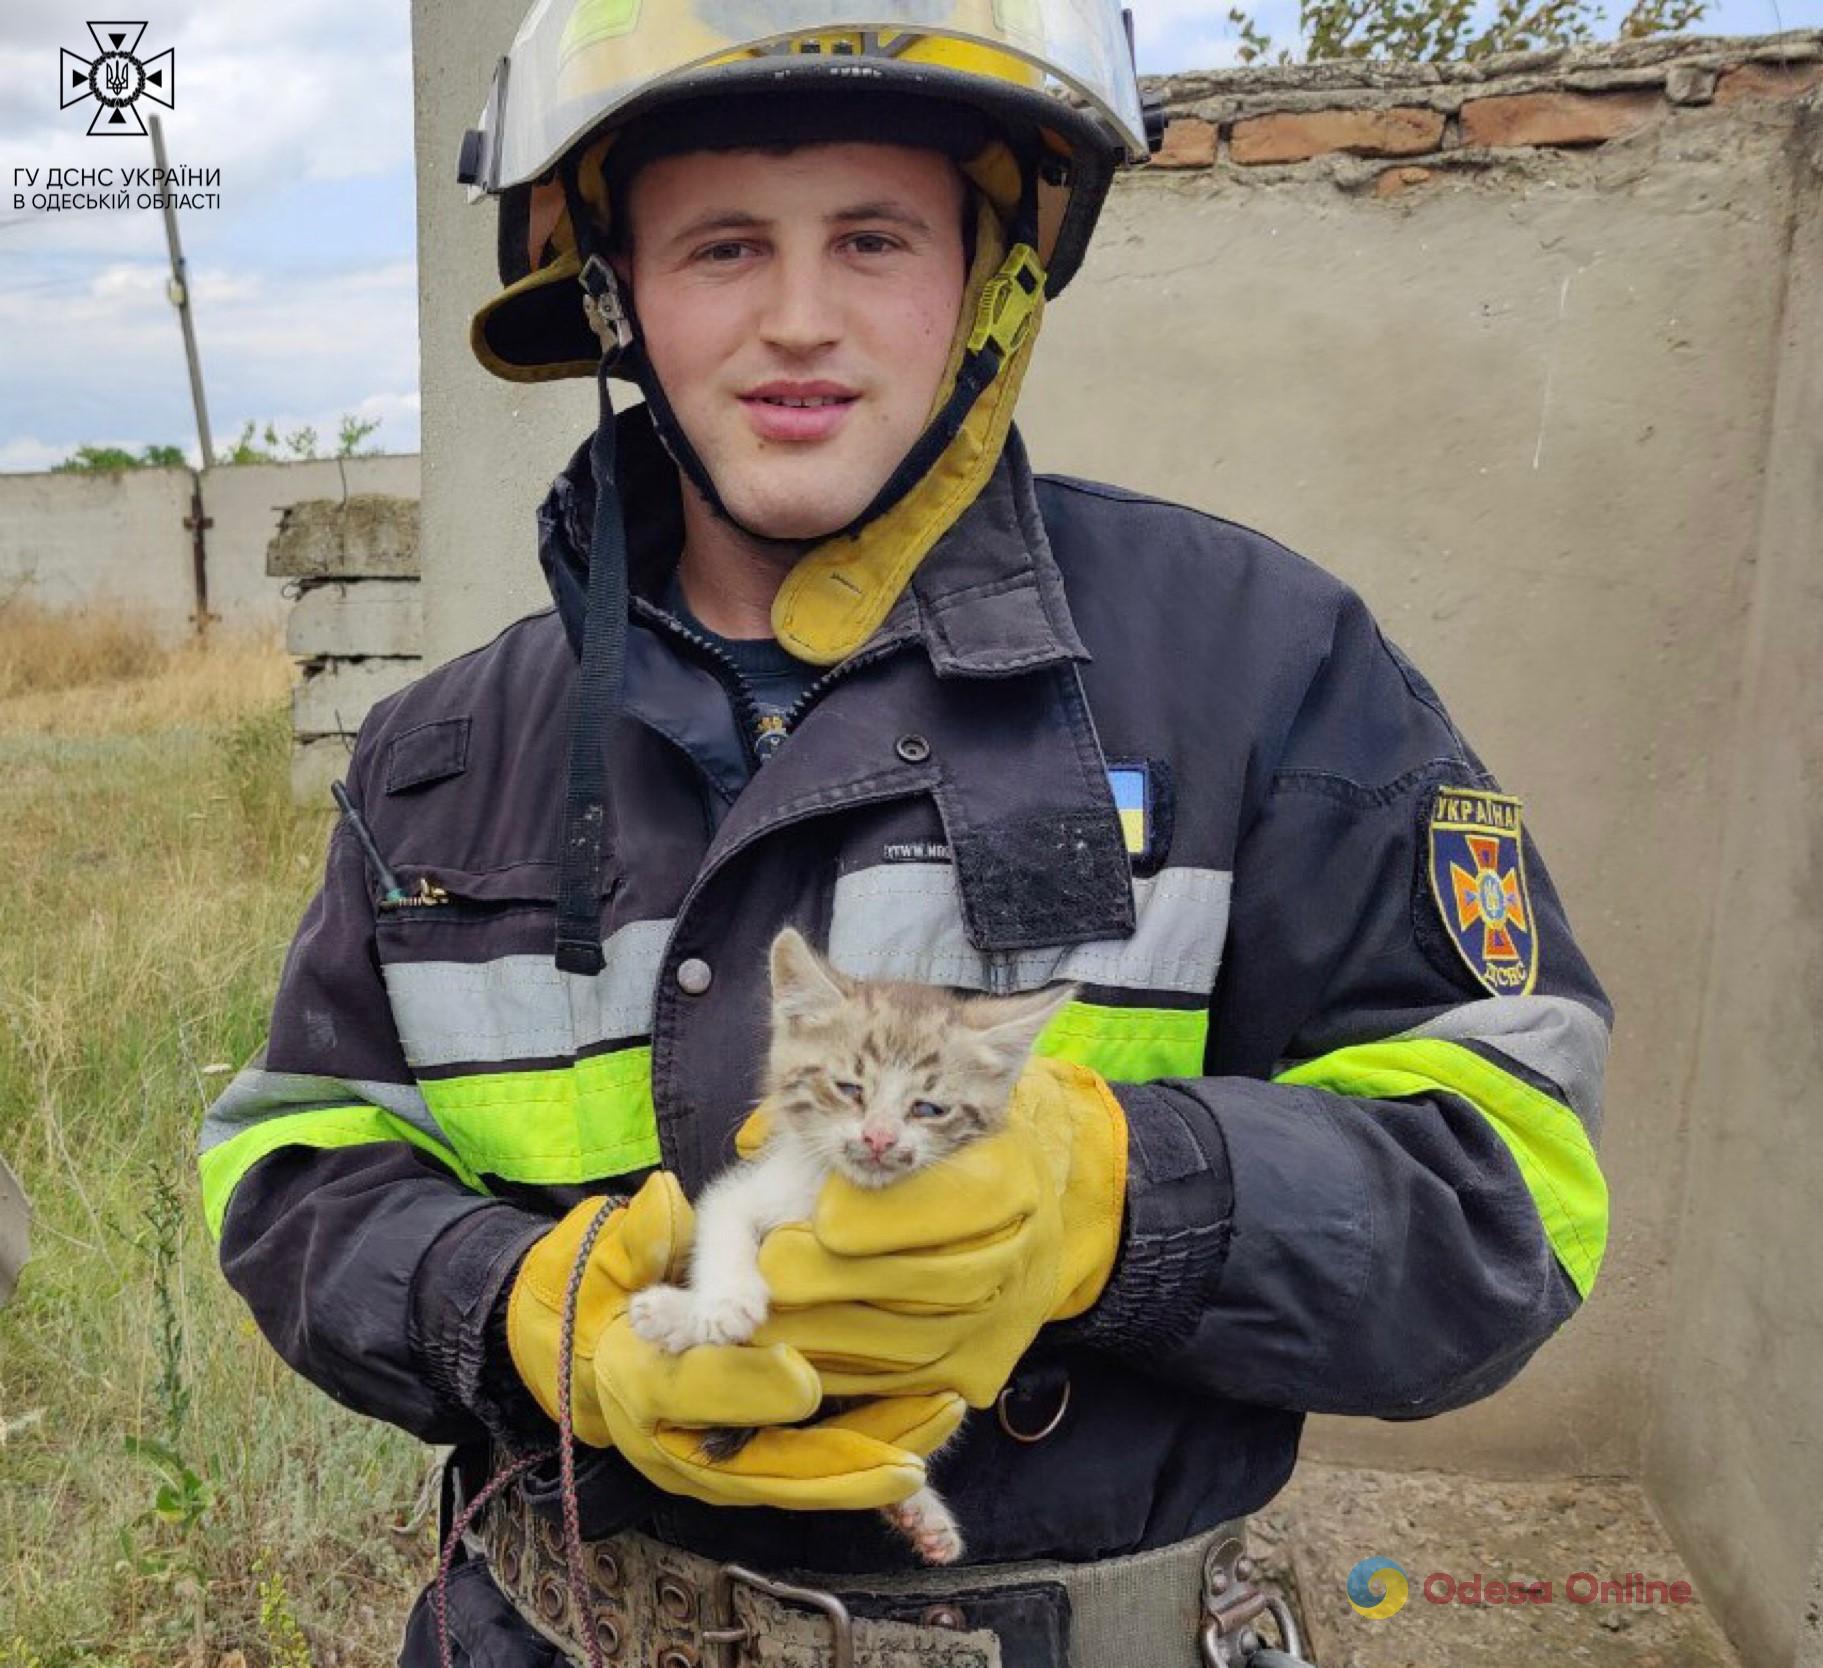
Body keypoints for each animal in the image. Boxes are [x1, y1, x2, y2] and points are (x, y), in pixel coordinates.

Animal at [627, 926, 1064, 1567]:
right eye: (850, 1089)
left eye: (927, 1107)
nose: (879, 1138)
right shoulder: (754, 1186)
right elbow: (723, 1223)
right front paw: (725, 1304)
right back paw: (668, 1316)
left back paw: (919, 1513)